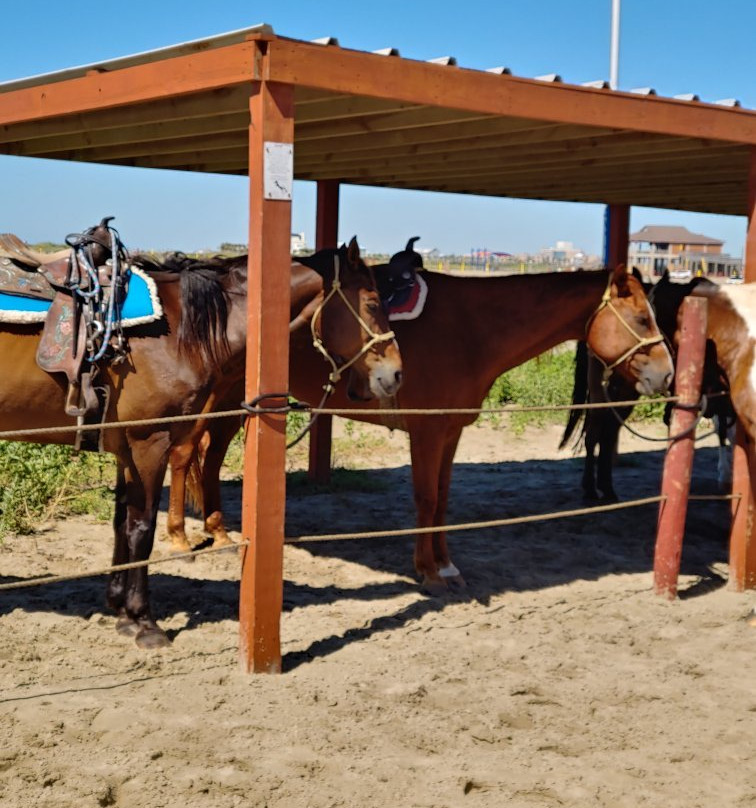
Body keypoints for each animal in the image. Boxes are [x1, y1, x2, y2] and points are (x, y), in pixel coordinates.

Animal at [0, 222, 401, 647]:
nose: (395, 373)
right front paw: (143, 621)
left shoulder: (127, 446)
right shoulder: (149, 443)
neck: (179, 328)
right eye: (373, 302)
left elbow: (122, 520)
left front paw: (120, 609)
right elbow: (142, 528)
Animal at [172, 246, 675, 594]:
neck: (472, 329)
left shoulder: (451, 432)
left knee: (210, 453)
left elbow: (444, 500)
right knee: (185, 452)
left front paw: (448, 565)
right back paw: (182, 539)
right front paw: (428, 572)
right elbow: (426, 498)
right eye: (641, 318)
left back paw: (217, 529)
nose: (667, 373)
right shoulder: (428, 433)